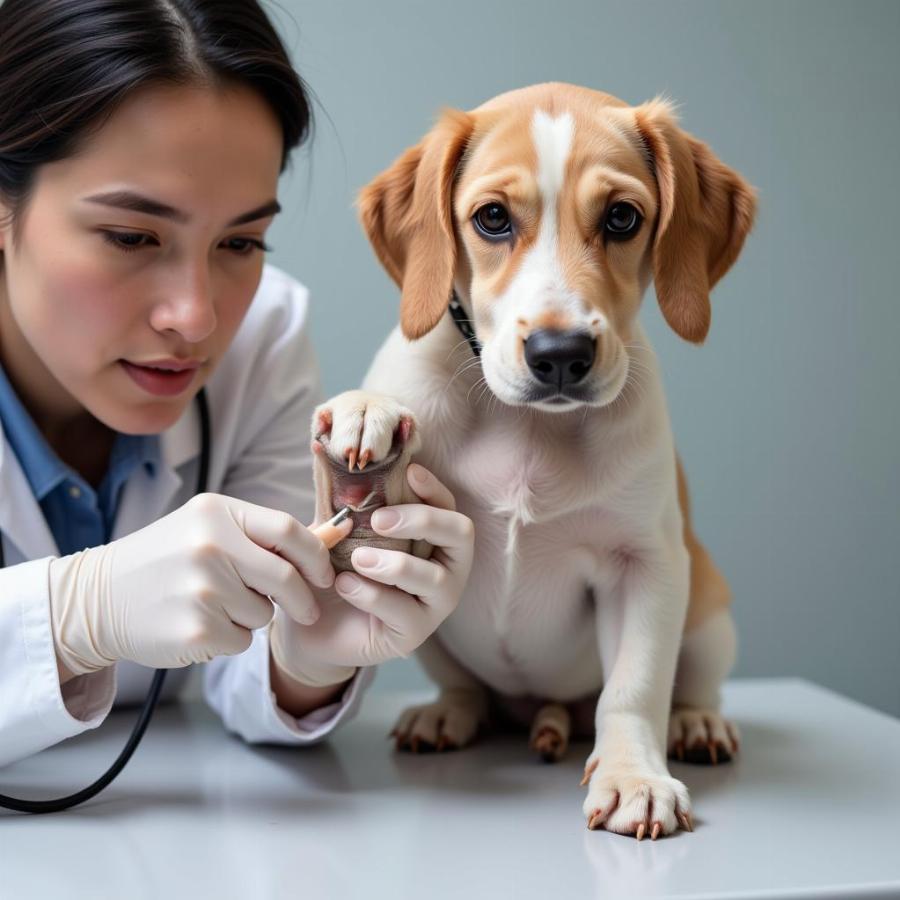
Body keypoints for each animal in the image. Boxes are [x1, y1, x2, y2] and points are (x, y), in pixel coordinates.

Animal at [312, 81, 756, 840]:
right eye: (492, 218)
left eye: (622, 217)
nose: (560, 354)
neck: (527, 427)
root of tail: (539, 711)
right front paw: (364, 409)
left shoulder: (647, 567)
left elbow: (634, 687)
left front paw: (635, 778)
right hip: (440, 646)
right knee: (466, 687)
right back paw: (448, 713)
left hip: (706, 614)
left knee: (684, 686)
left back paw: (695, 724)